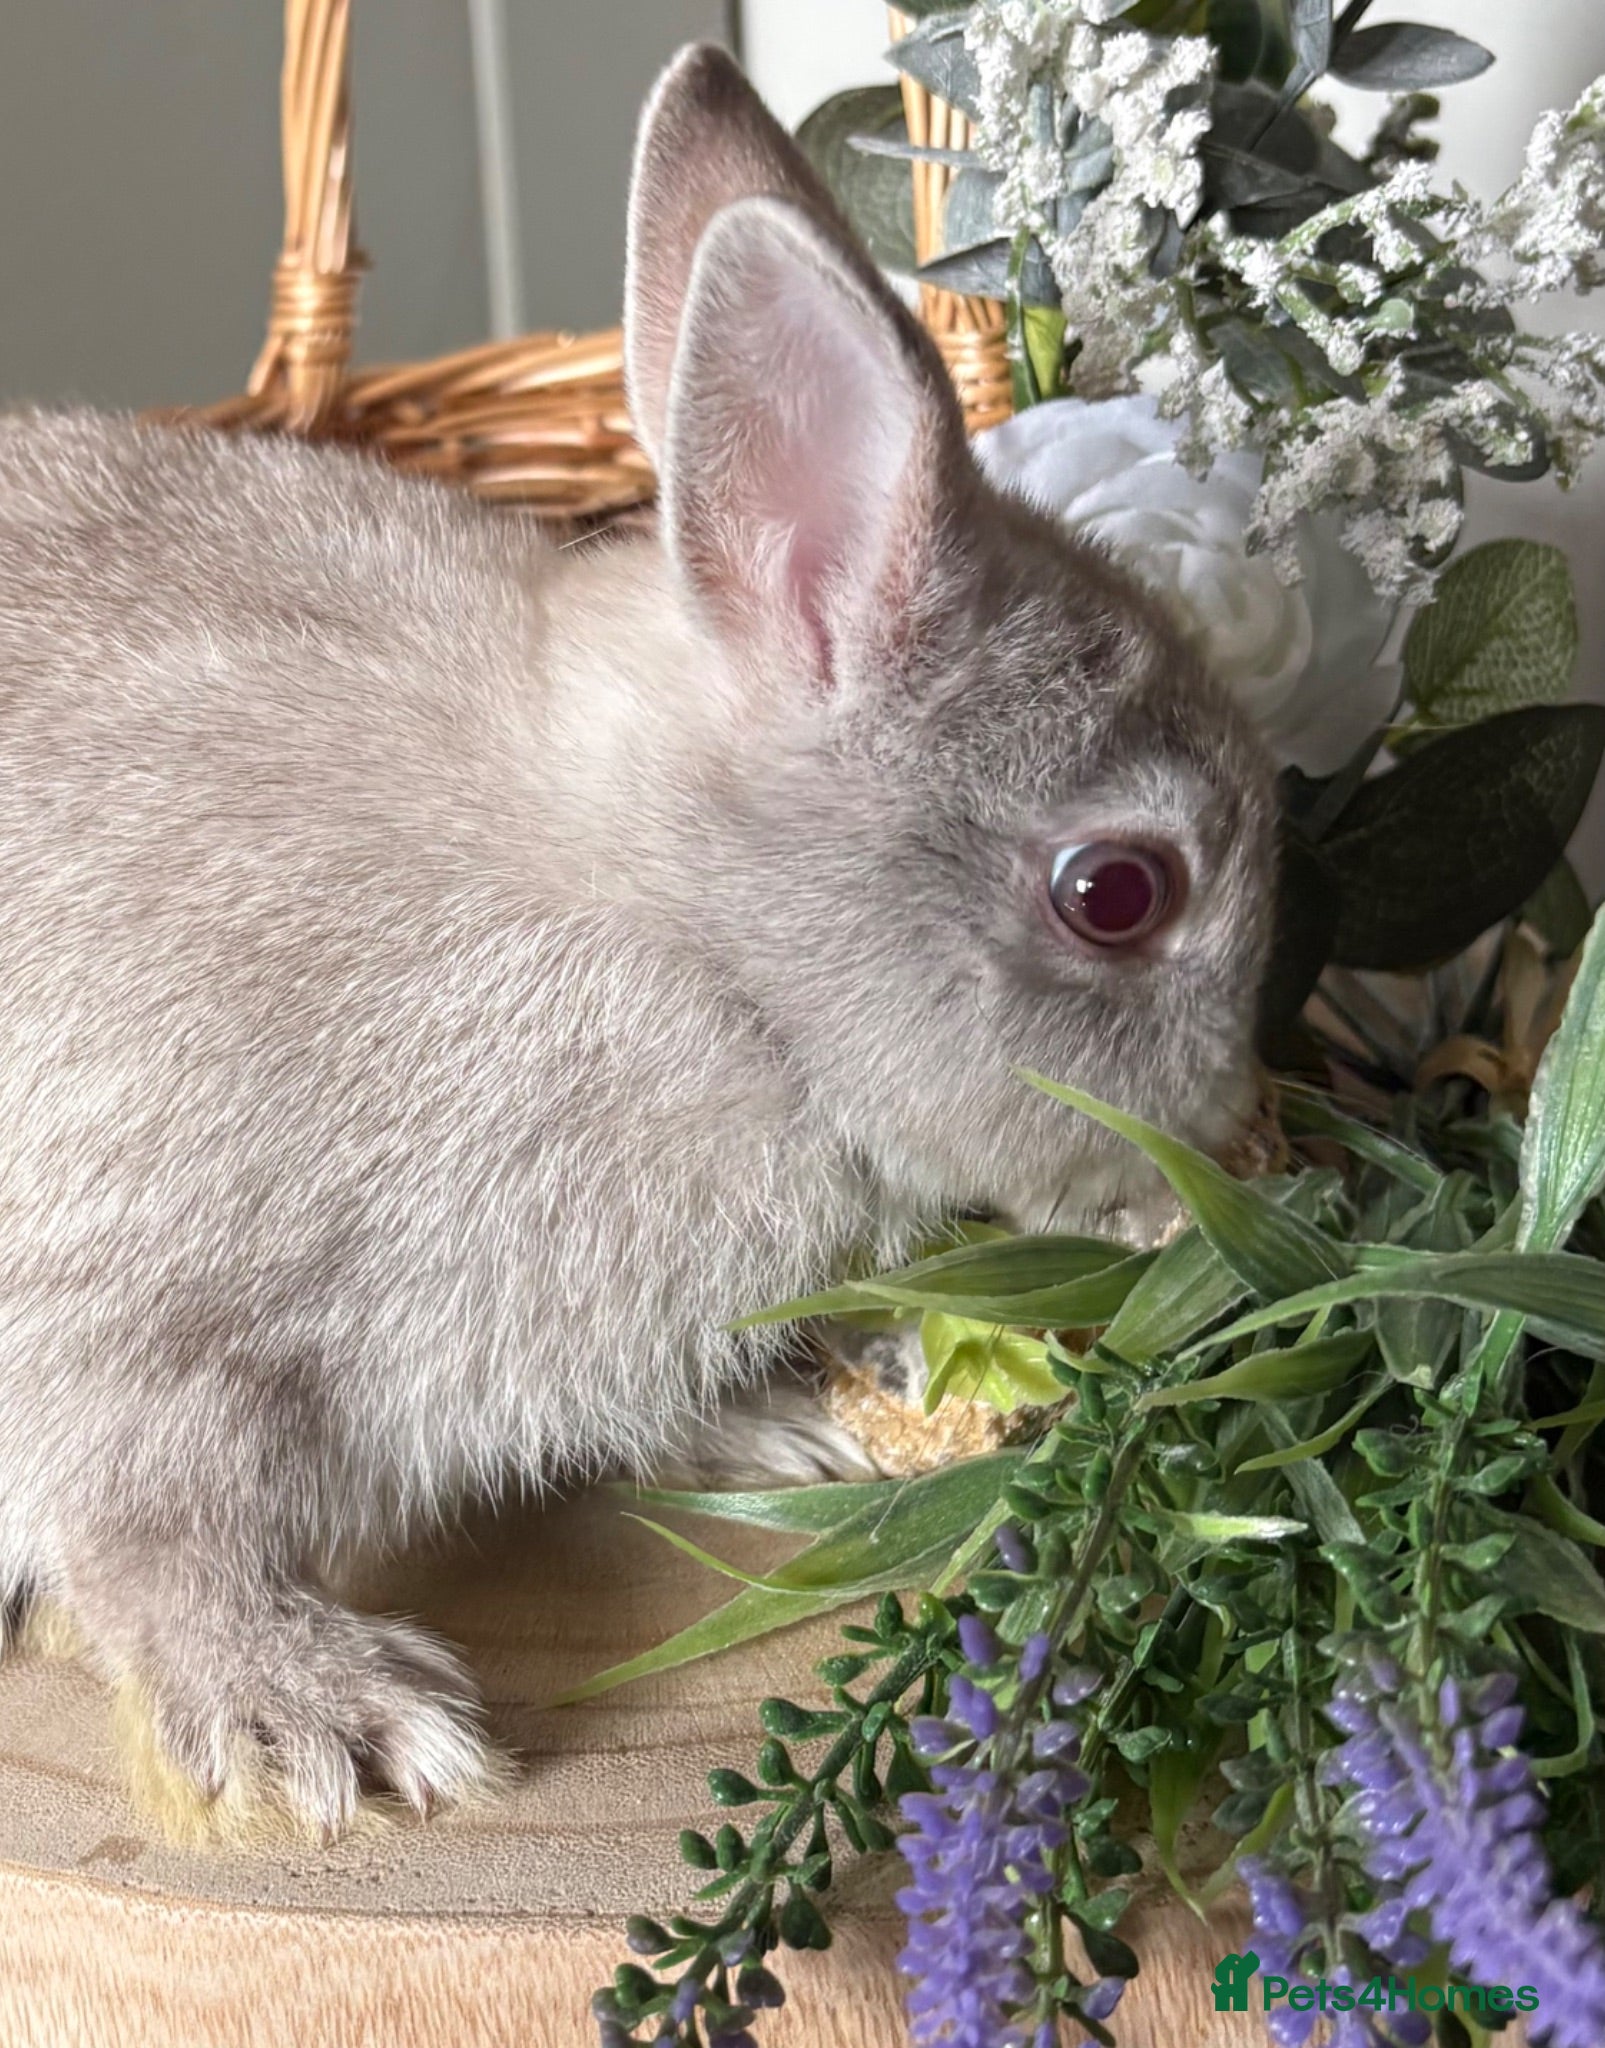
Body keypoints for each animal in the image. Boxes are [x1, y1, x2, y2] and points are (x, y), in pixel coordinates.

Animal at [0, 45, 1276, 1833]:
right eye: (1117, 894)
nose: (1224, 1155)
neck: (710, 957)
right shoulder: (136, 1301)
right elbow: (143, 1527)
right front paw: (328, 1727)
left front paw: (795, 1420)